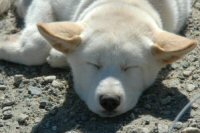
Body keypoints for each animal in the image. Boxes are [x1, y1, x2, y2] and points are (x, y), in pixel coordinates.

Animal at [0, 0, 197, 117]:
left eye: (131, 67)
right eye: (93, 65)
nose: (109, 100)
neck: (122, 4)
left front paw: (58, 55)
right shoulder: (46, 3)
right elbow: (37, 45)